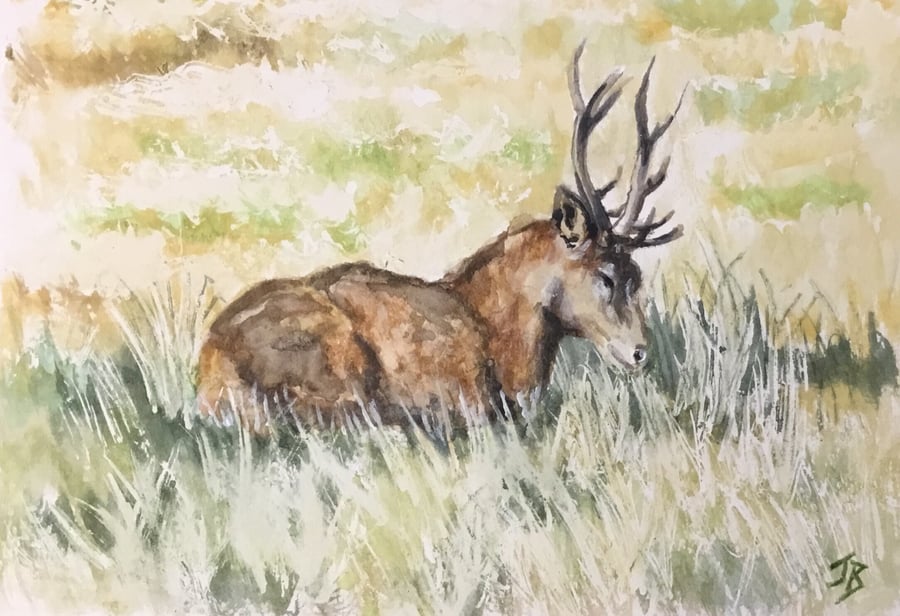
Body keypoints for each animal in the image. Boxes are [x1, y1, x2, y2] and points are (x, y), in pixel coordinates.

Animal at [195, 44, 685, 435]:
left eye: (637, 276)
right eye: (605, 275)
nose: (640, 352)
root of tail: (210, 368)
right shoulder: (473, 398)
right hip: (336, 364)